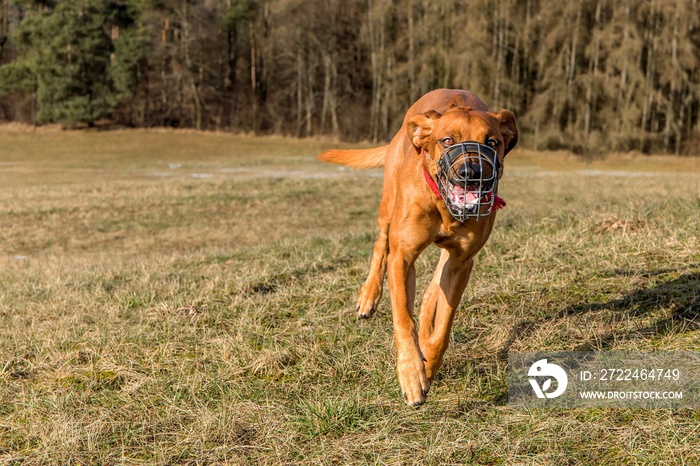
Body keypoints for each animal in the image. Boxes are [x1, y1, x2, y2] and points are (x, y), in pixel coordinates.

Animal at [318, 89, 516, 406]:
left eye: (492, 142)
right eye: (446, 140)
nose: (471, 172)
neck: (442, 206)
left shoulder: (461, 263)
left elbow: (443, 326)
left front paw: (428, 364)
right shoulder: (403, 258)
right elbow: (402, 319)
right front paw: (411, 373)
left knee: (432, 291)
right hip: (388, 206)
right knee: (381, 243)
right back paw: (368, 296)